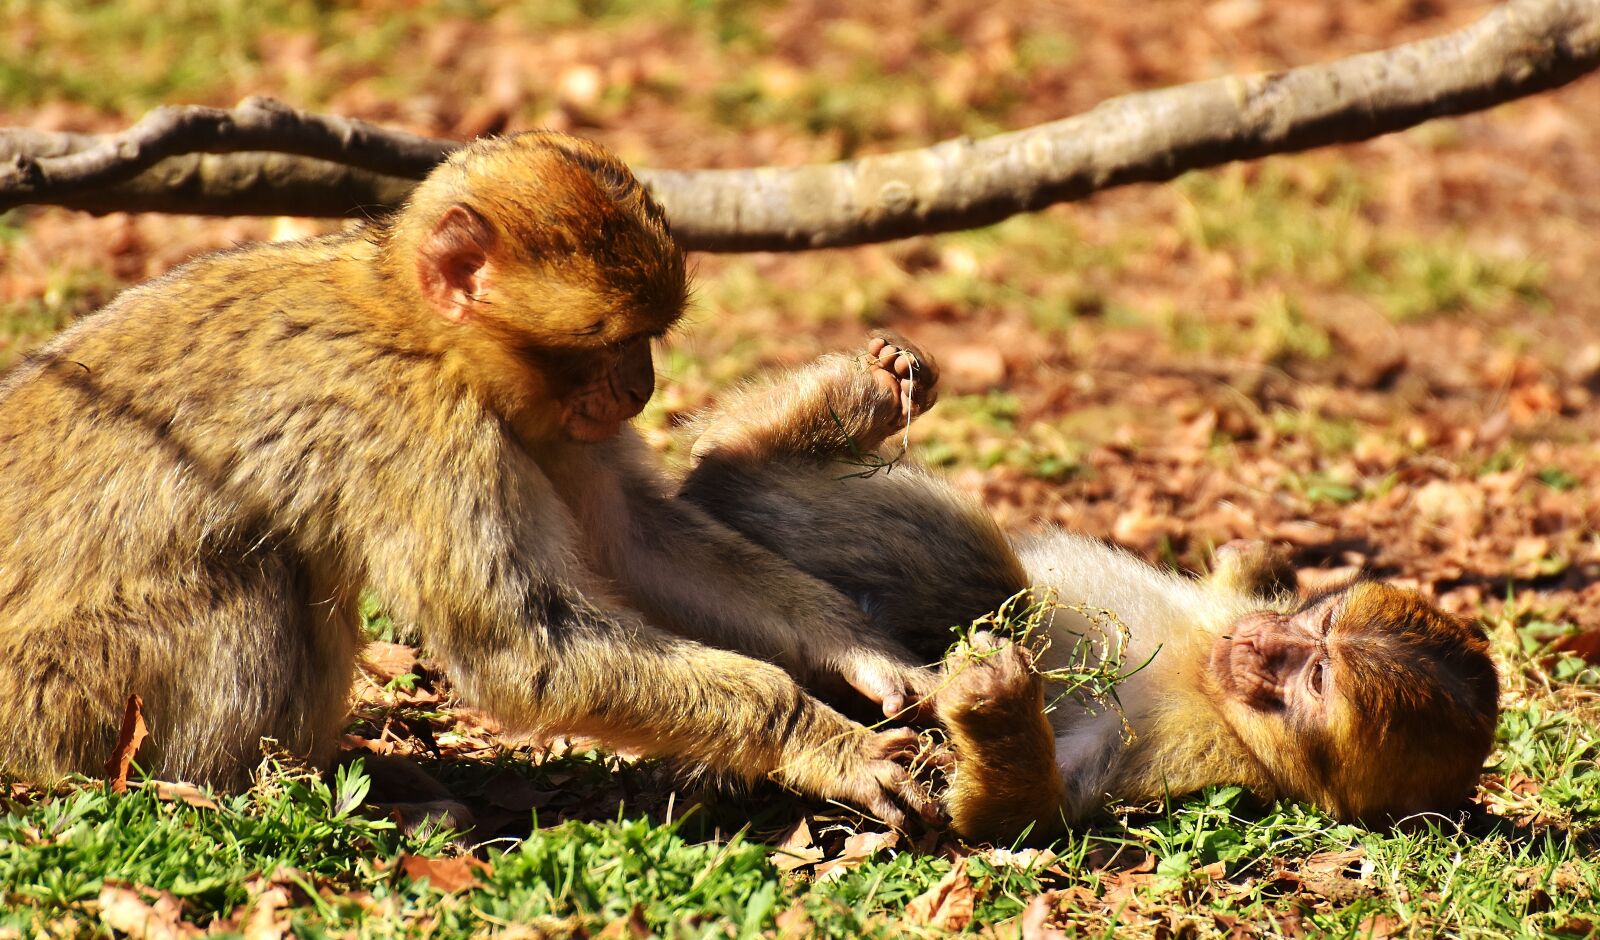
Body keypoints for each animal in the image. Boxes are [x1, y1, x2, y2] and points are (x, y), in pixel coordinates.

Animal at [0, 132, 943, 828]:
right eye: (612, 340)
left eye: (648, 338)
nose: (640, 387)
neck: (424, 332)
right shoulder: (419, 429)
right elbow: (522, 647)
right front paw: (817, 739)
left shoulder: (544, 424)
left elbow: (633, 543)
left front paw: (858, 650)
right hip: (67, 705)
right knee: (255, 578)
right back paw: (239, 794)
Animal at [677, 333, 1501, 842]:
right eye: (1315, 629)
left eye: (1317, 679)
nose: (1261, 642)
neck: (1211, 682)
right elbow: (1244, 574)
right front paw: (1258, 555)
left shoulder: (1204, 761)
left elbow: (1020, 816)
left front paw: (995, 699)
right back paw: (844, 403)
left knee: (988, 573)